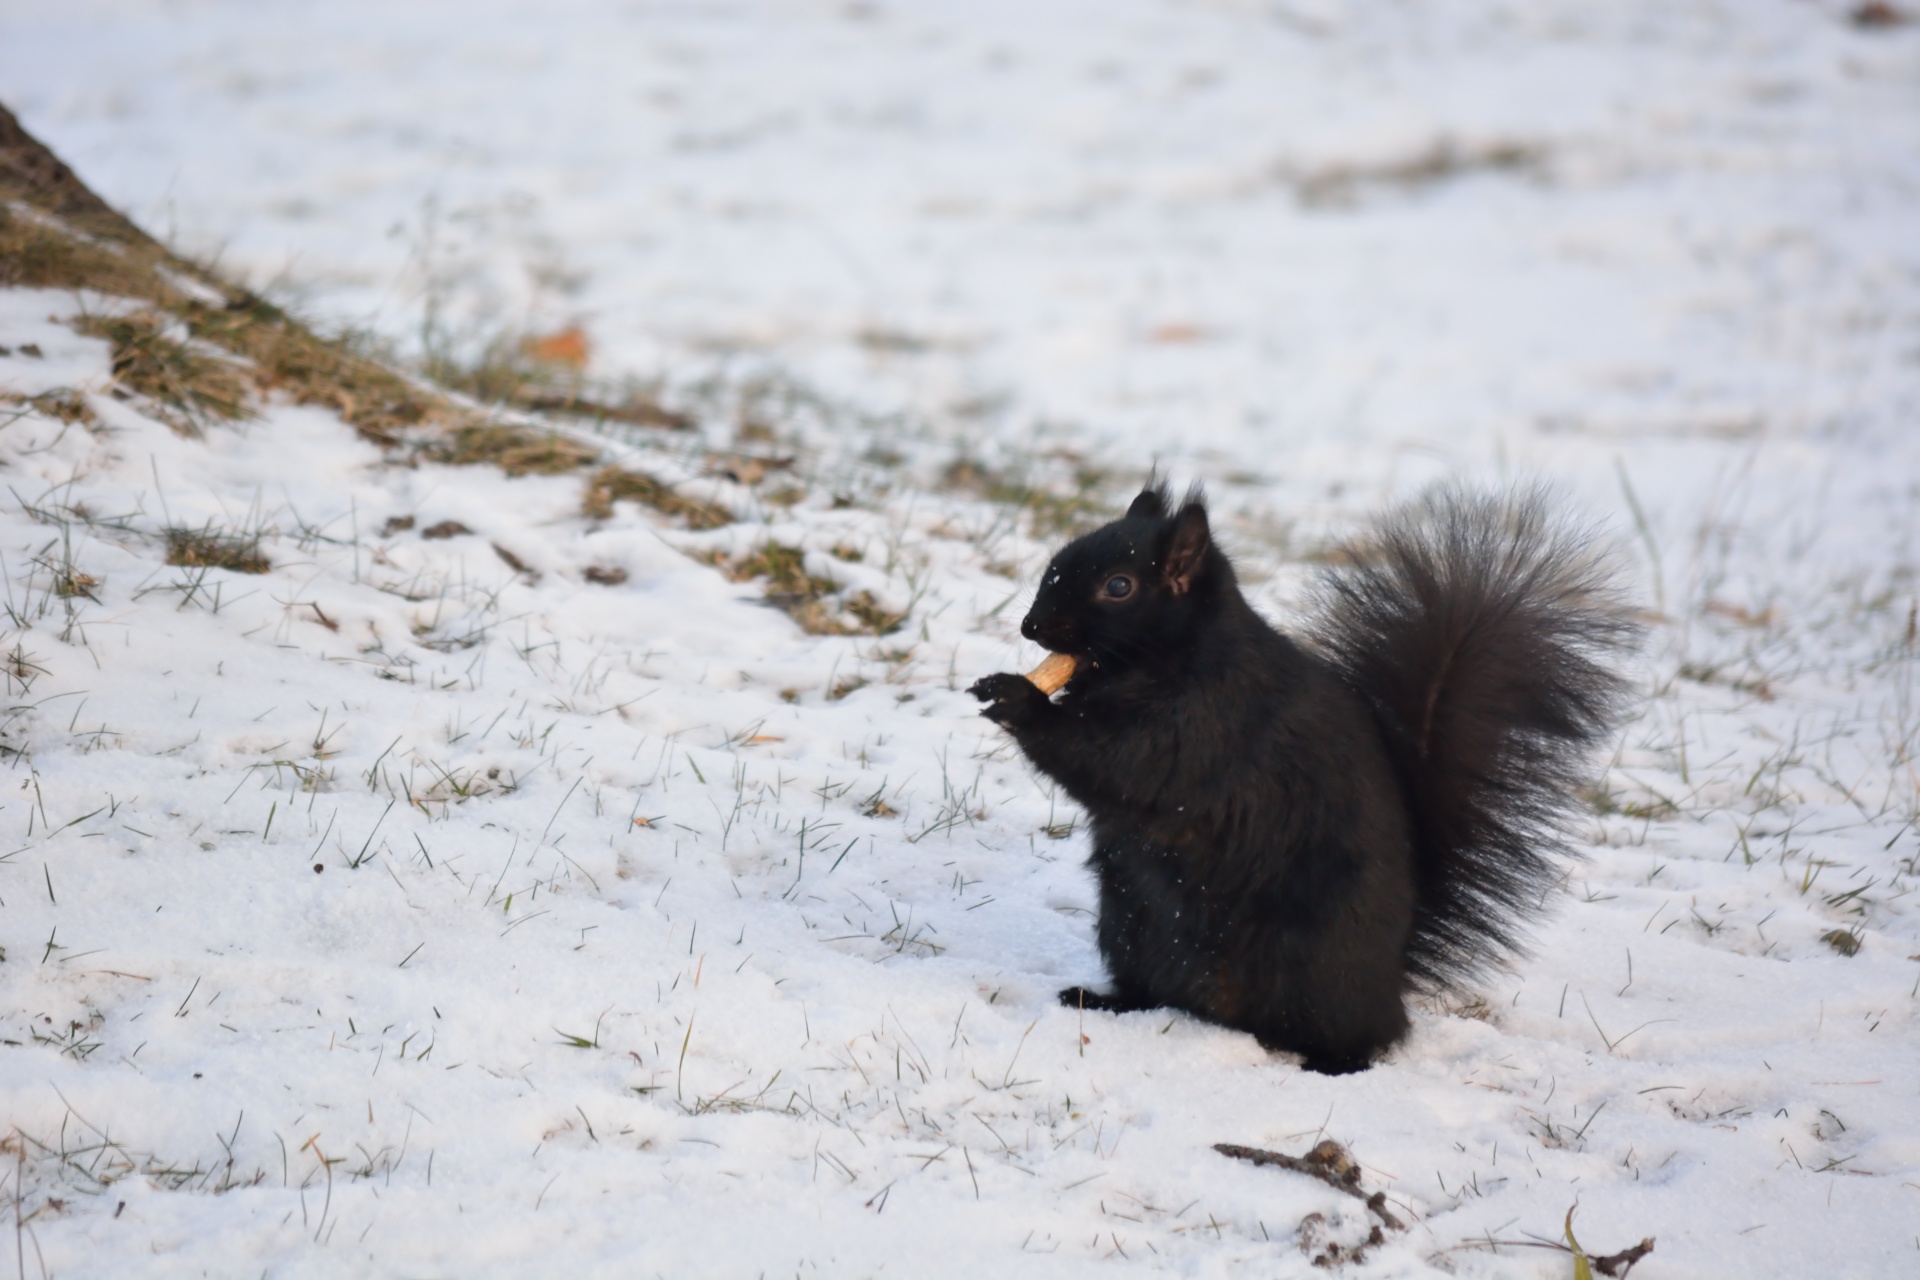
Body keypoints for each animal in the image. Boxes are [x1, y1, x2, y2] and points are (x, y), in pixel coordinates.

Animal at [975, 477, 1635, 1074]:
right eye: (1057, 562)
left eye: (1119, 587)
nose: (1032, 626)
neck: (1173, 657)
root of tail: (1391, 981)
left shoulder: (1208, 719)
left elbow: (1122, 764)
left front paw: (1019, 699)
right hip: (1128, 925)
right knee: (1153, 992)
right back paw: (1100, 1000)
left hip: (1313, 966)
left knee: (1362, 1037)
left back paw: (1333, 1064)